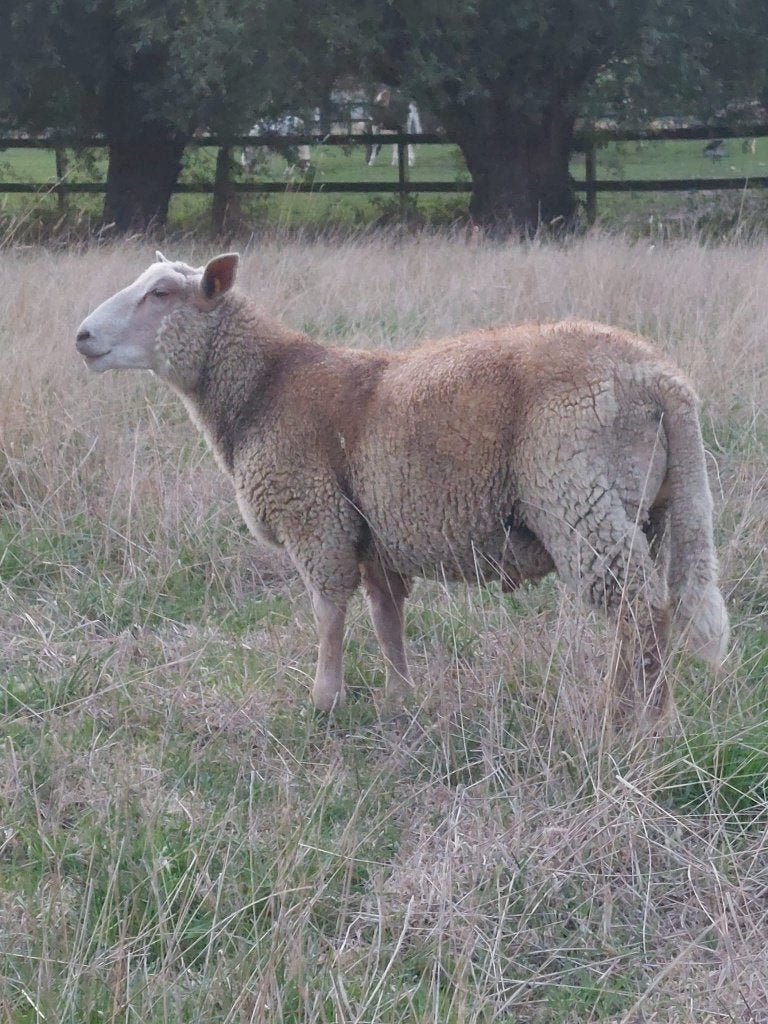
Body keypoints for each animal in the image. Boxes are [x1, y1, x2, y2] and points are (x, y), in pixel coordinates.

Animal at [75, 252, 730, 724]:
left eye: (162, 293)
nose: (81, 336)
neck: (262, 388)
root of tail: (661, 379)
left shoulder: (316, 519)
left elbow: (328, 614)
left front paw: (325, 702)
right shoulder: (372, 535)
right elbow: (387, 619)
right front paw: (400, 699)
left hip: (577, 495)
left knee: (638, 607)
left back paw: (633, 722)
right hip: (653, 507)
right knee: (653, 607)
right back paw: (642, 712)